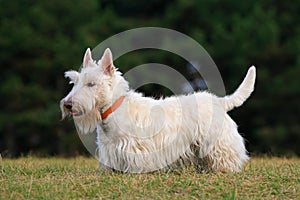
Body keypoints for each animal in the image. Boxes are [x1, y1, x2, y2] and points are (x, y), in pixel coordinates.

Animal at [60, 48, 255, 172]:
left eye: (91, 84)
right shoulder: (109, 150)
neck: (114, 108)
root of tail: (219, 102)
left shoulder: (136, 149)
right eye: (74, 82)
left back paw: (224, 169)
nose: (68, 104)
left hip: (217, 141)